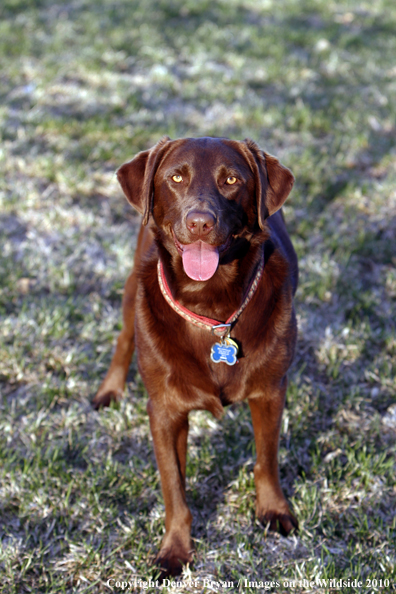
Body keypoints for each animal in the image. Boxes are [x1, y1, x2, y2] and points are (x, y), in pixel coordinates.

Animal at [93, 135, 296, 572]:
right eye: (176, 178)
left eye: (232, 179)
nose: (200, 222)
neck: (211, 307)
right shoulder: (164, 410)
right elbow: (174, 488)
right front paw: (174, 550)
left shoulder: (271, 390)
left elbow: (267, 458)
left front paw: (273, 510)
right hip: (133, 289)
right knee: (124, 337)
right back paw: (109, 390)